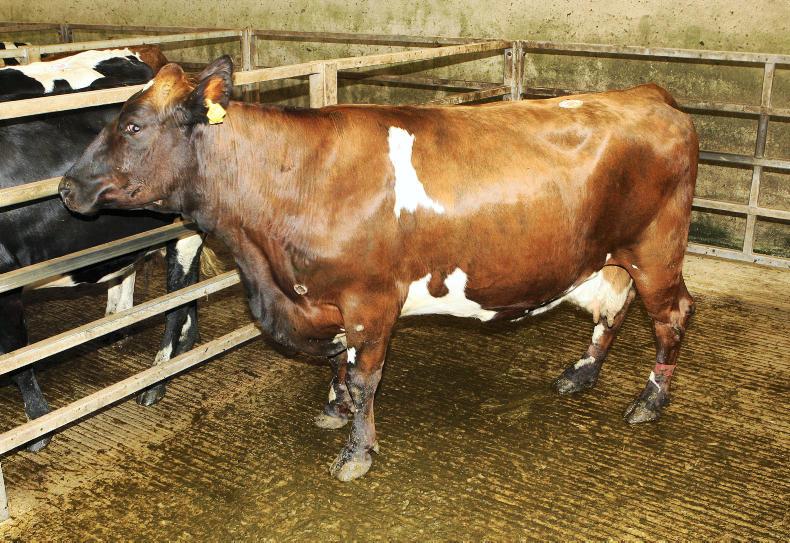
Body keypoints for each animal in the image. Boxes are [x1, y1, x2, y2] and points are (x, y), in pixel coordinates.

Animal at [60, 56, 698, 481]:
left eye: (133, 125)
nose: (67, 187)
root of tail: (646, 93)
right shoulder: (324, 296)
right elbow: (339, 364)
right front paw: (335, 410)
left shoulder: (370, 298)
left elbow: (366, 375)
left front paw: (356, 453)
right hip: (609, 256)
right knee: (612, 308)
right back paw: (581, 374)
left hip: (657, 250)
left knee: (671, 316)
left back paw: (649, 402)